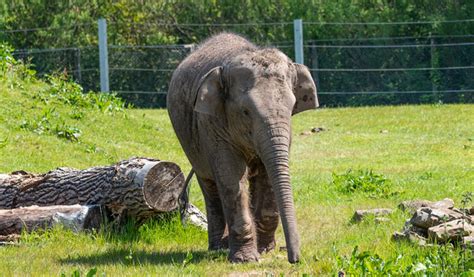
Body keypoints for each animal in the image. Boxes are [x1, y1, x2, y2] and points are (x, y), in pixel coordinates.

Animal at [167, 31, 318, 262]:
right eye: (246, 111)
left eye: (293, 106)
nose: (295, 259)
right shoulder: (212, 123)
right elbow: (232, 177)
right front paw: (245, 259)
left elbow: (268, 174)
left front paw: (265, 250)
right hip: (190, 142)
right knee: (210, 187)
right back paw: (218, 248)